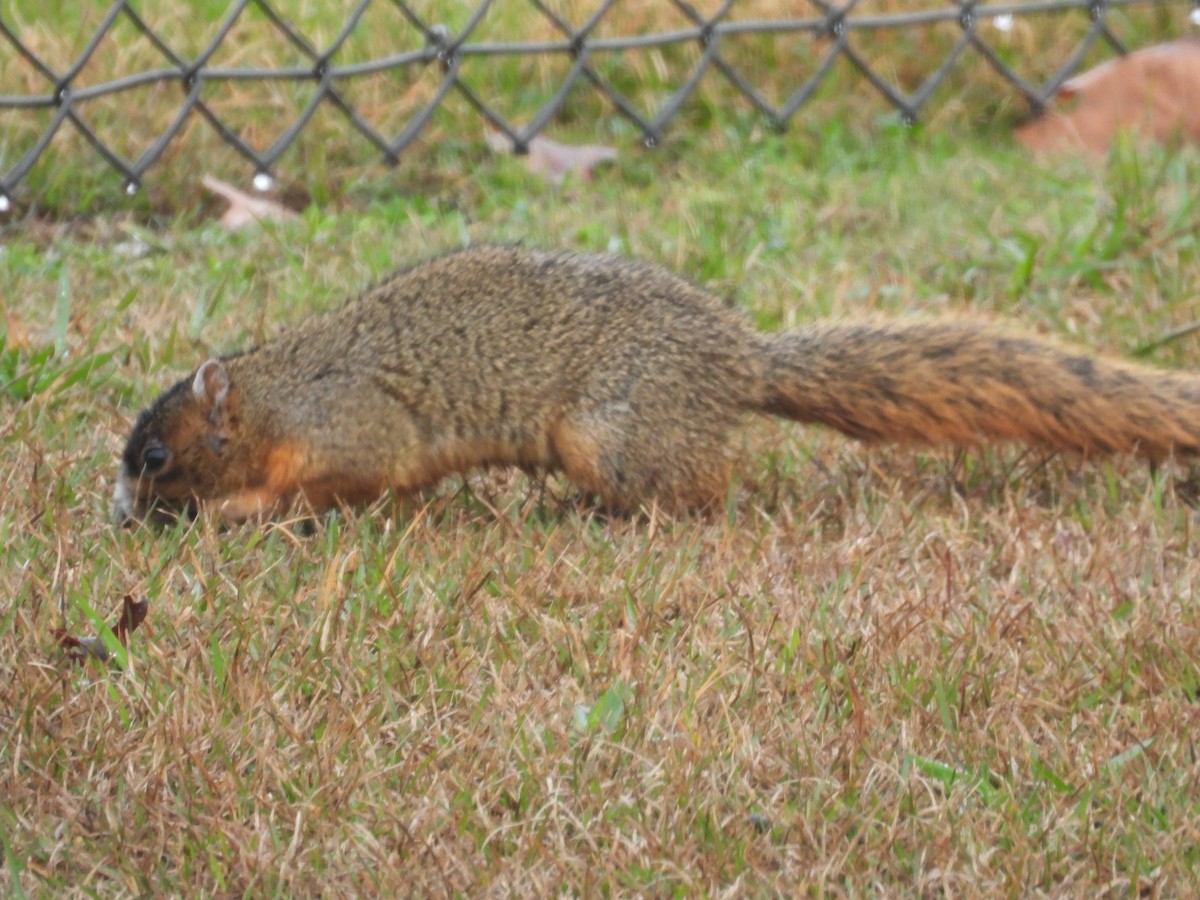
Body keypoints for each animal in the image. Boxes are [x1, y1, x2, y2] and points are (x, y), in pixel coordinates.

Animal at [113, 245, 1200, 523]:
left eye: (157, 454)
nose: (121, 516)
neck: (274, 395)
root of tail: (736, 361)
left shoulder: (351, 425)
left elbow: (338, 480)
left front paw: (237, 512)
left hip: (619, 430)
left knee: (702, 492)